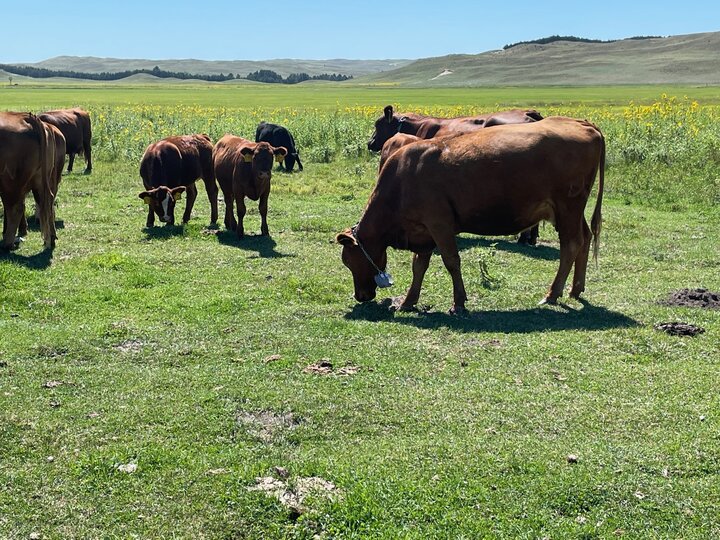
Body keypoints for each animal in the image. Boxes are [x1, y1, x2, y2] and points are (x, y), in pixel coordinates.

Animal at [0, 113, 57, 251]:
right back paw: (51, 239)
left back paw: (7, 244)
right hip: (41, 180)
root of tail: (27, 117)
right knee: (48, 202)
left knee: (15, 208)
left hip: (10, 183)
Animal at [338, 116, 600, 314]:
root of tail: (583, 124)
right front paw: (408, 301)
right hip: (572, 212)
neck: (402, 180)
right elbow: (418, 266)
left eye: (348, 261)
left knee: (571, 244)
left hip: (567, 207)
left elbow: (452, 261)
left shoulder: (439, 224)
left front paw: (458, 303)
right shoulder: (423, 231)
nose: (360, 296)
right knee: (585, 238)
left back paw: (552, 294)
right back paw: (575, 289)